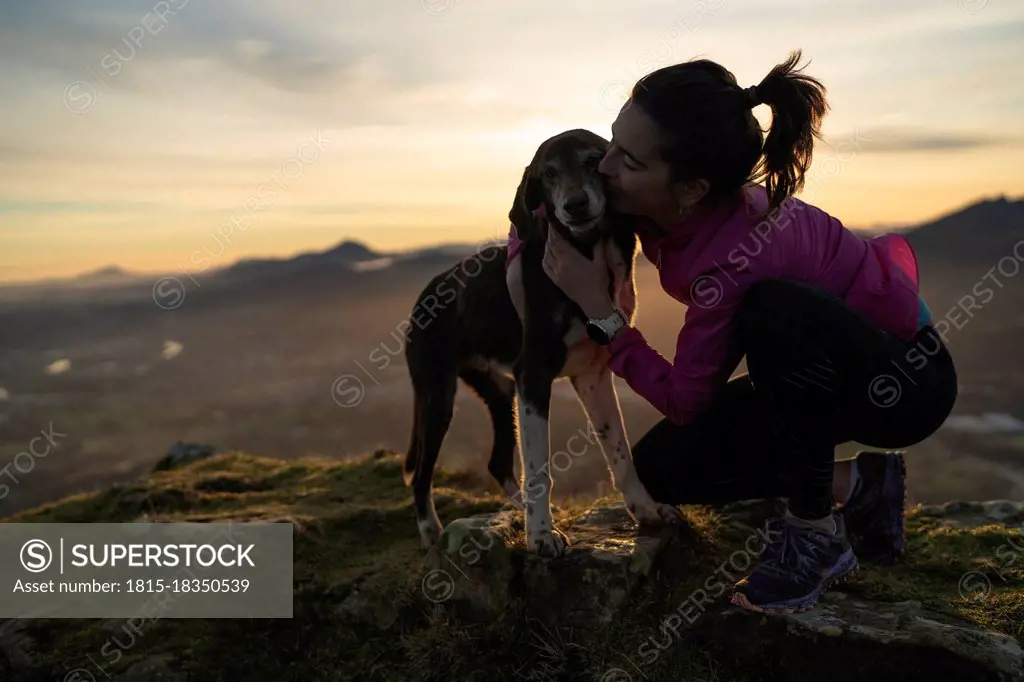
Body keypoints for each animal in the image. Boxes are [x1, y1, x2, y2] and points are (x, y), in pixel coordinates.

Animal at [399, 130, 679, 557]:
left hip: (499, 392)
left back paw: (517, 509)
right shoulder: (533, 377)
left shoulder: (593, 376)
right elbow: (538, 468)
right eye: (548, 173)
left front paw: (645, 509)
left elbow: (619, 451)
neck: (588, 254)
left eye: (594, 159)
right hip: (438, 396)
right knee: (421, 473)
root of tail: (425, 296)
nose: (575, 204)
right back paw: (431, 531)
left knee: (497, 461)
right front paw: (541, 536)